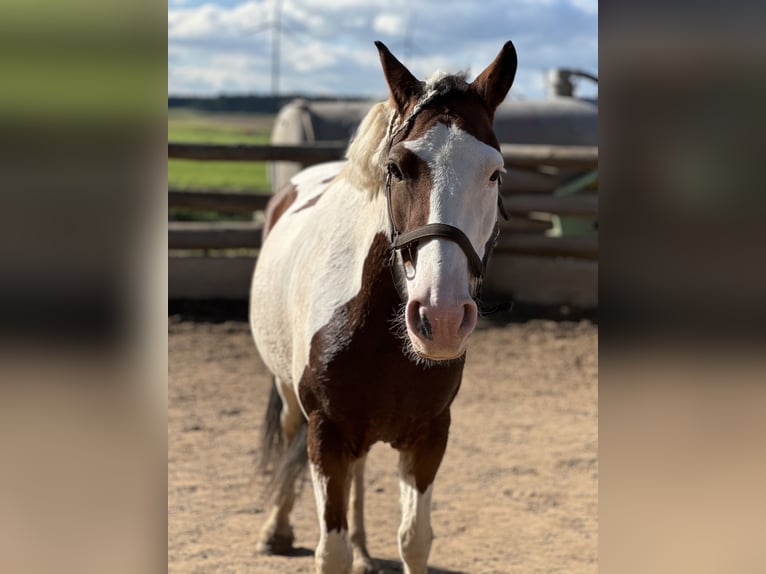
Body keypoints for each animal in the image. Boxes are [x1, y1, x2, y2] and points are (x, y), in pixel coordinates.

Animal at [250, 40, 517, 574]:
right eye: (396, 167)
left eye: (494, 172)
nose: (441, 317)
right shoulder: (326, 434)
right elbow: (328, 551)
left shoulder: (429, 436)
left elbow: (414, 540)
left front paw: (366, 546)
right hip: (289, 396)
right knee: (289, 440)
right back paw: (277, 530)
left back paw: (362, 548)